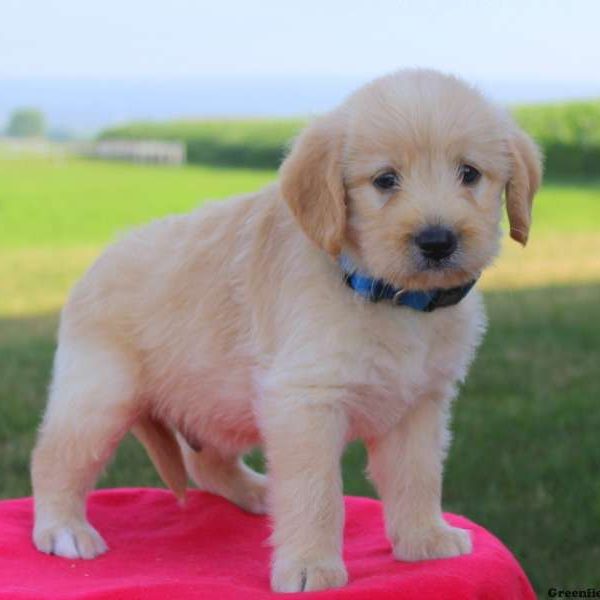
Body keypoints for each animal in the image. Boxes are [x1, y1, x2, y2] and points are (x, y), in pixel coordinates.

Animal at [30, 68, 540, 592]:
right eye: (385, 180)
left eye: (469, 173)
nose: (437, 241)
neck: (388, 295)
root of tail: (95, 264)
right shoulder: (305, 403)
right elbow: (316, 493)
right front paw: (311, 566)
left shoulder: (418, 406)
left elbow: (417, 477)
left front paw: (425, 540)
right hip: (100, 399)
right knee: (53, 459)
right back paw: (63, 529)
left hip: (218, 403)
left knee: (203, 462)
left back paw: (258, 493)